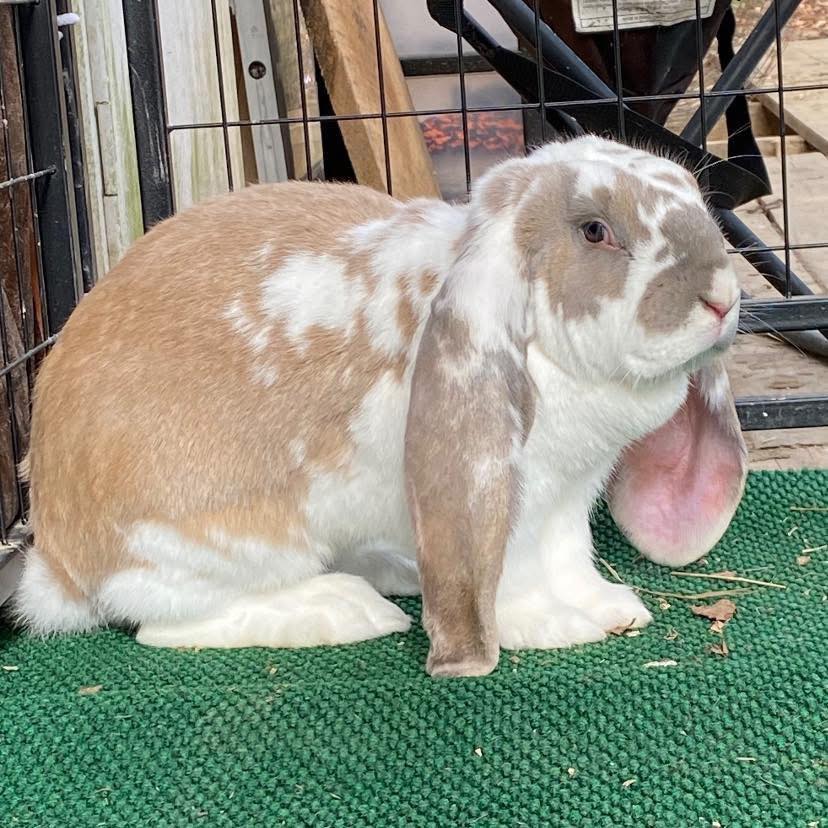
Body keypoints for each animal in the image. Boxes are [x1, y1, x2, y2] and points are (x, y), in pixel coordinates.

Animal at [11, 135, 747, 677]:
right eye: (595, 230)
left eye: (695, 193)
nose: (722, 297)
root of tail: (59, 562)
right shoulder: (512, 494)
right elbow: (515, 573)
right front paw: (551, 626)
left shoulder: (568, 498)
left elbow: (572, 555)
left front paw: (610, 609)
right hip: (217, 541)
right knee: (165, 623)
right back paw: (343, 609)